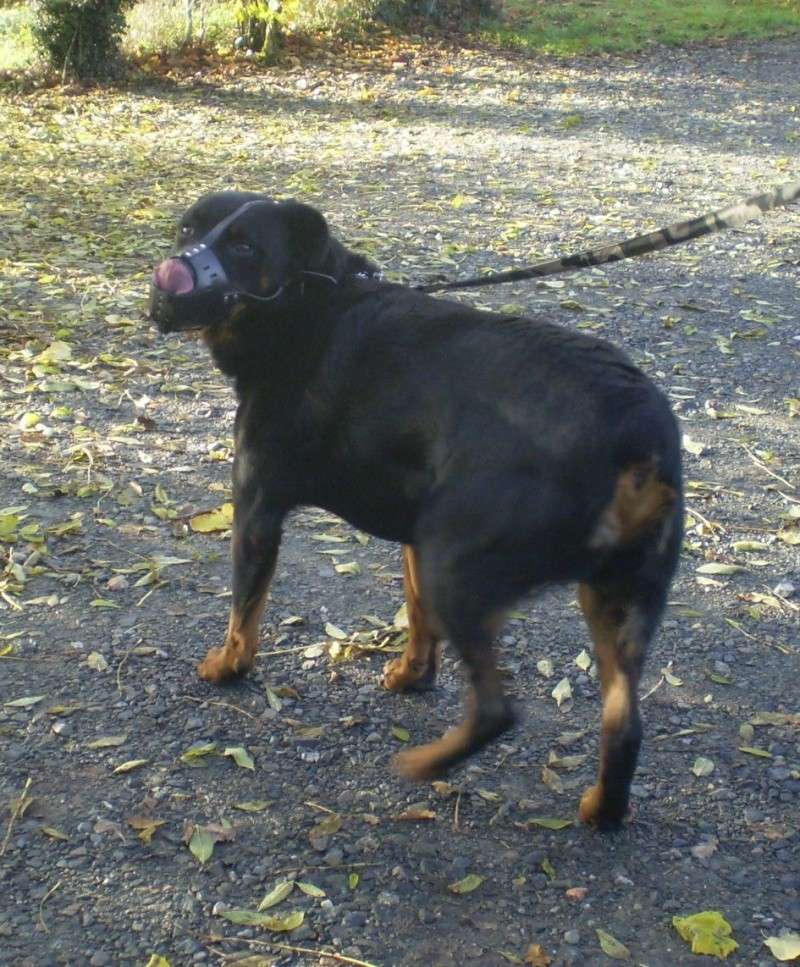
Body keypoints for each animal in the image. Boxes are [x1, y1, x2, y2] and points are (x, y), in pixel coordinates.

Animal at [150, 191, 680, 832]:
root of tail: (637, 431)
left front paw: (226, 669)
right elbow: (418, 620)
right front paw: (411, 676)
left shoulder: (255, 511)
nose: (172, 270)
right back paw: (603, 810)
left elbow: (242, 618)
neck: (309, 301)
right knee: (624, 724)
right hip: (616, 599)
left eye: (245, 246)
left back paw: (426, 766)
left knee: (497, 711)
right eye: (187, 229)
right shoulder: (411, 541)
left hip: (460, 566)